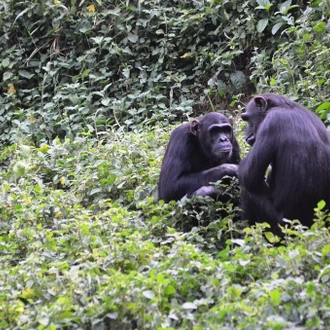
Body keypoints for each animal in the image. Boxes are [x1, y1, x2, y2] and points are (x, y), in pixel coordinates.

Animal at [238, 93, 330, 237]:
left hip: (280, 228)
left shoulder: (270, 124)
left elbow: (249, 177)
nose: (246, 134)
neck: (283, 107)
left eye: (247, 119)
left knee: (250, 192)